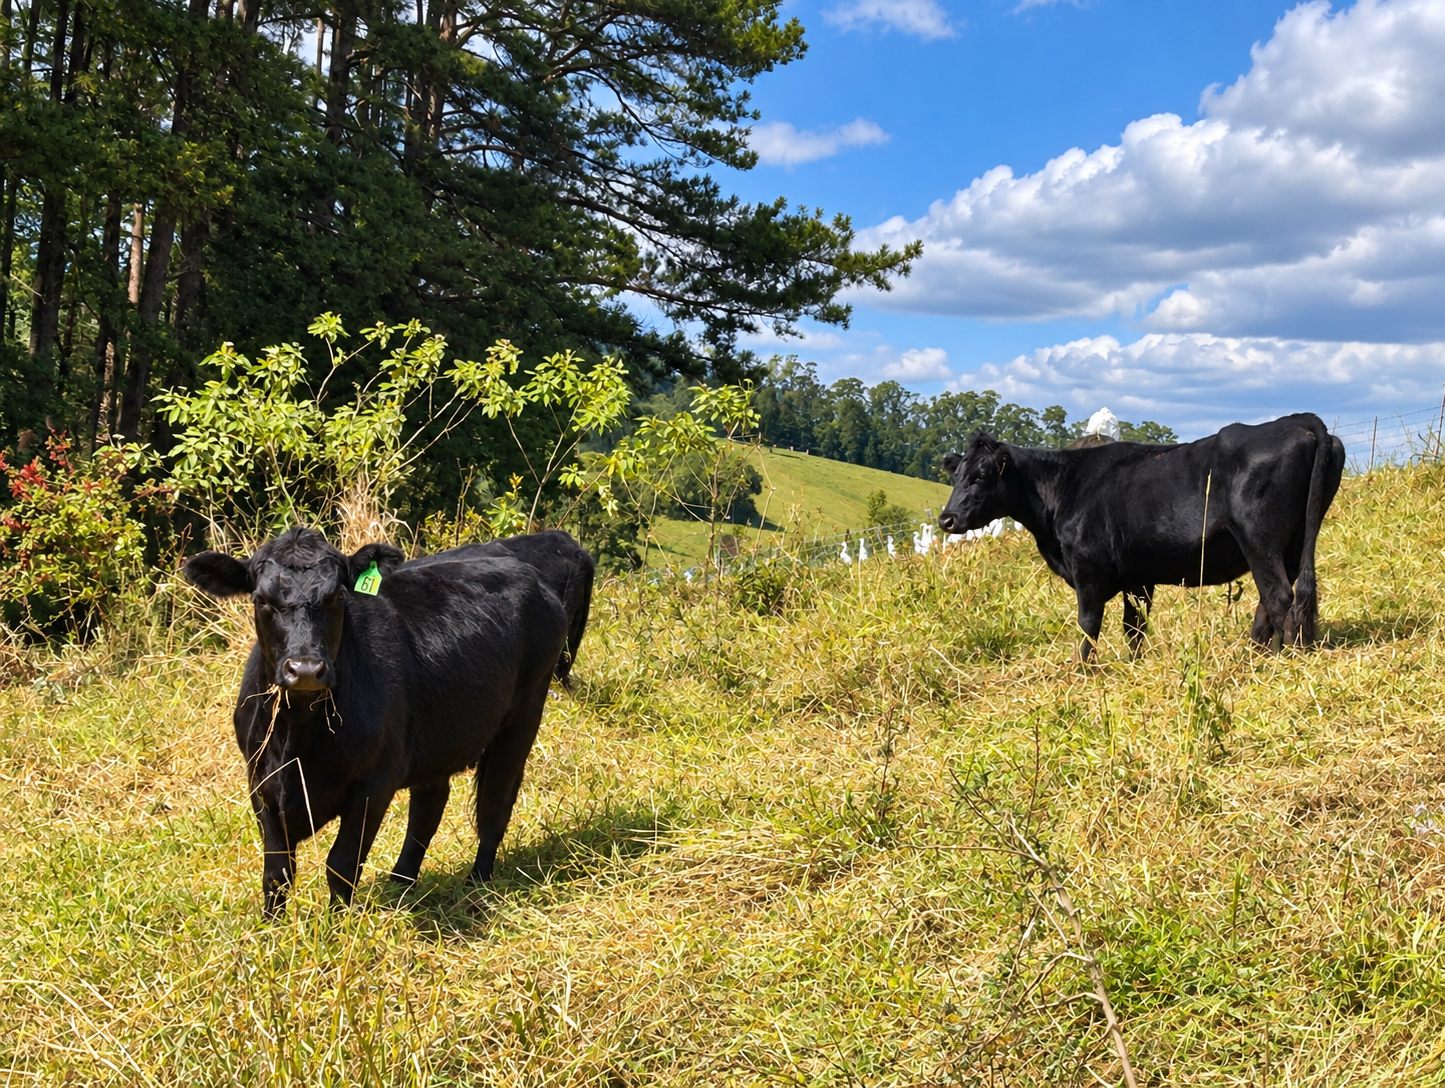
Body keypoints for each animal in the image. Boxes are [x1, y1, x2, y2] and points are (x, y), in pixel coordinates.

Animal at [182, 527, 568, 918]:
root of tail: (523, 567)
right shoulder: (260, 779)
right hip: (438, 737)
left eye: (337, 596)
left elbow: (342, 864)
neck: (298, 736)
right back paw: (401, 882)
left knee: (494, 802)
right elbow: (277, 871)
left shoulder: (374, 783)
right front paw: (271, 926)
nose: (305, 670)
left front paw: (337, 925)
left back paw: (477, 883)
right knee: (429, 806)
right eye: (261, 600)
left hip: (523, 715)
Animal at [938, 413, 1346, 660]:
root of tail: (1298, 421)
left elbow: (1089, 623)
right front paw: (1134, 663)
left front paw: (1082, 669)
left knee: (1278, 595)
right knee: (1275, 596)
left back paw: (1277, 657)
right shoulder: (1137, 577)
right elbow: (1133, 627)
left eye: (981, 476)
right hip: (1293, 541)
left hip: (1259, 538)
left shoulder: (1088, 570)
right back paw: (1258, 652)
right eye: (956, 475)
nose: (947, 518)